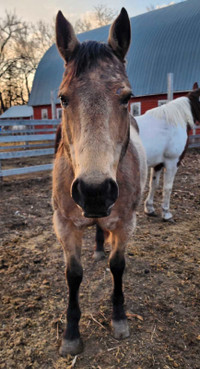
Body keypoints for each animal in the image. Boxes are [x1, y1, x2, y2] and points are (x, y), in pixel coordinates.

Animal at [52, 7, 147, 354]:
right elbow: (73, 275)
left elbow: (117, 266)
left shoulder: (126, 223)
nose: (94, 192)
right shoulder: (64, 225)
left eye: (127, 98)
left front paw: (119, 318)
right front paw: (71, 334)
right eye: (63, 99)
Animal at [134, 83, 200, 220]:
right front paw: (166, 213)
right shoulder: (172, 162)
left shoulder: (158, 163)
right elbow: (168, 187)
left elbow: (154, 184)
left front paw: (149, 209)